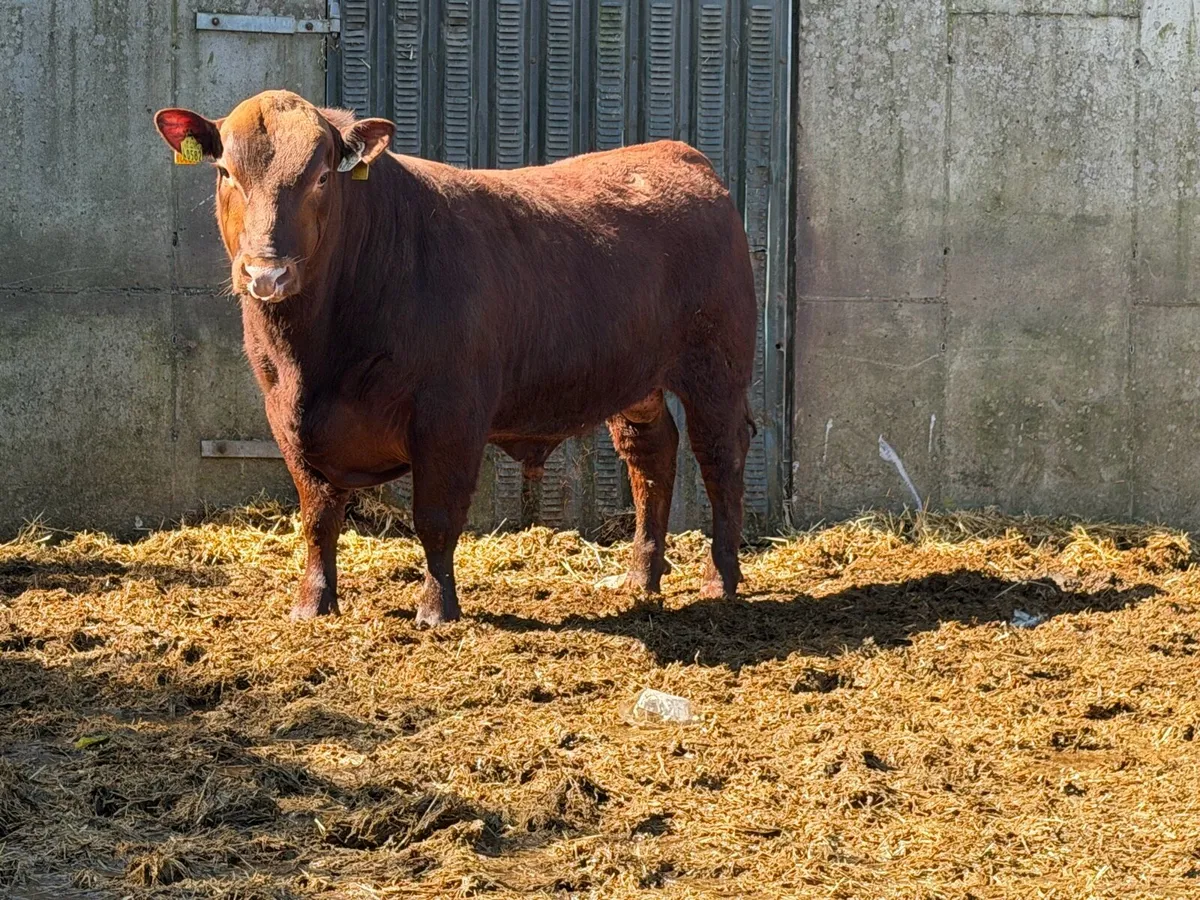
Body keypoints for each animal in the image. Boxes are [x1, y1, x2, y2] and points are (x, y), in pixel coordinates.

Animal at [154, 90, 757, 626]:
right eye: (226, 172)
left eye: (322, 177)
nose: (267, 273)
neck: (316, 356)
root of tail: (680, 156)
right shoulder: (284, 415)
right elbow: (318, 517)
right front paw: (313, 604)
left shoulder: (451, 412)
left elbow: (437, 517)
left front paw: (437, 609)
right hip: (637, 379)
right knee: (651, 456)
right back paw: (639, 577)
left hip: (718, 367)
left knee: (720, 457)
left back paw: (719, 579)